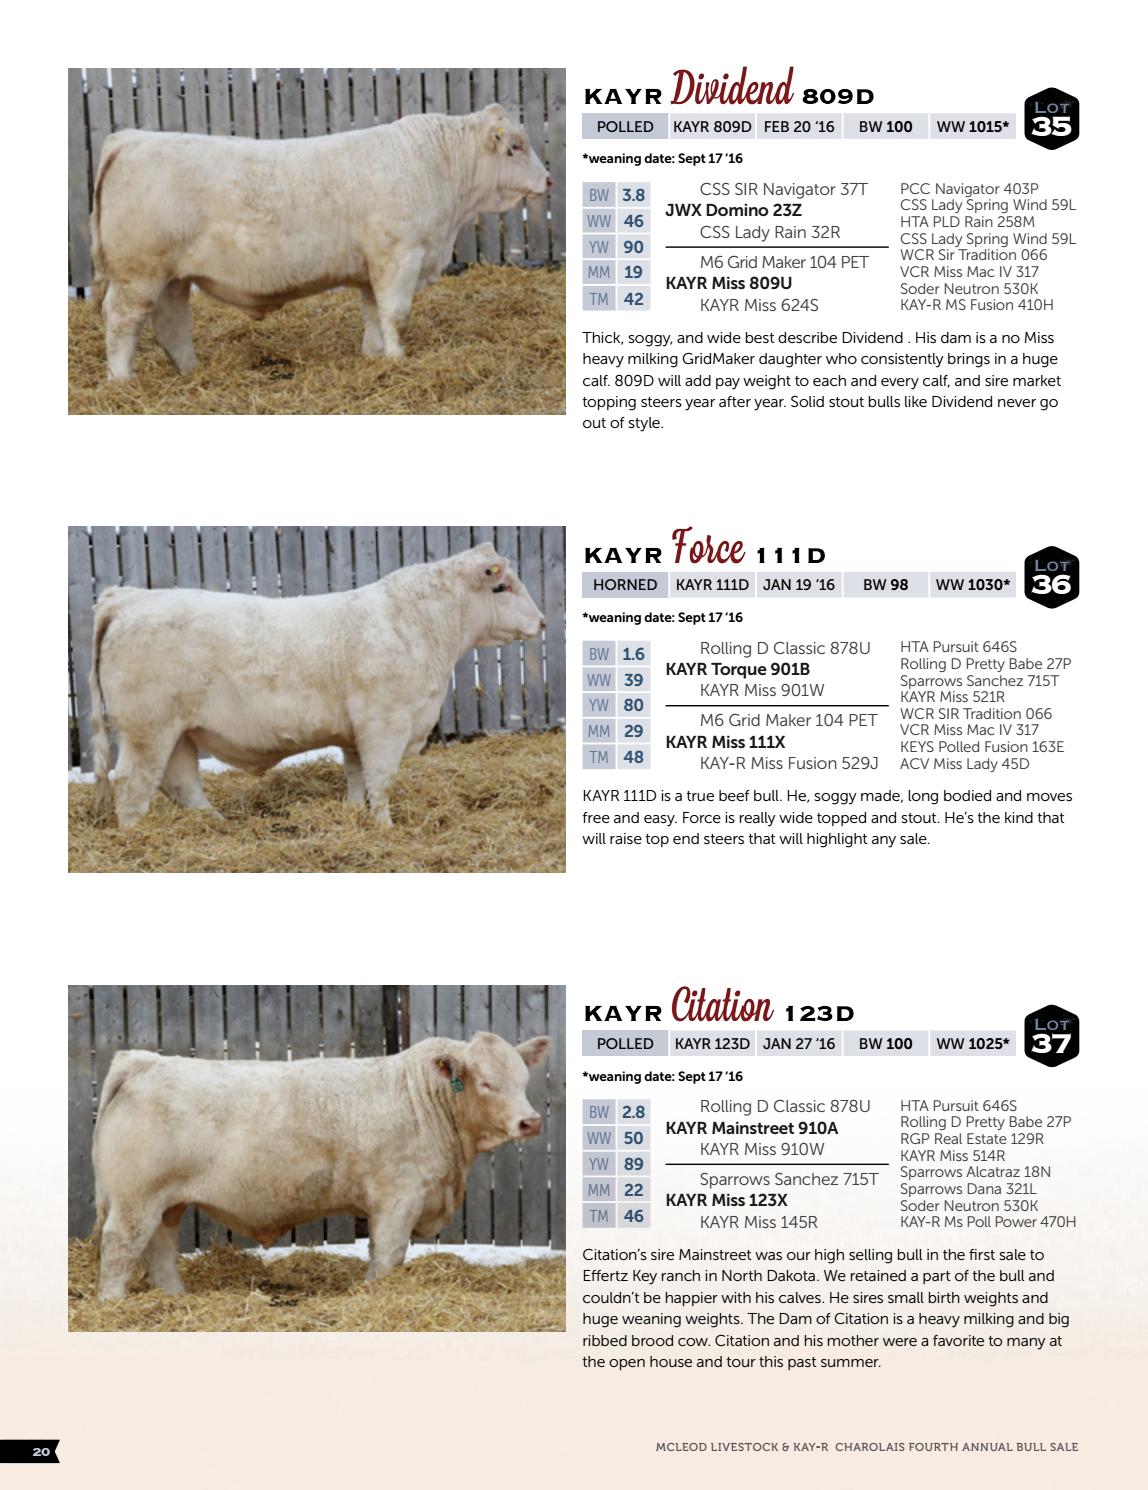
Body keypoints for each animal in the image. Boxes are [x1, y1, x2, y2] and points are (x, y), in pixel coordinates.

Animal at [88, 542, 545, 829]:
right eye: (502, 586)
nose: (541, 621)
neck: (419, 627)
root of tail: (128, 598)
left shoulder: (355, 734)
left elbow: (357, 779)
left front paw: (354, 815)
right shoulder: (385, 724)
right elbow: (381, 780)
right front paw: (386, 827)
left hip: (179, 732)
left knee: (180, 783)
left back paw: (218, 824)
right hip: (148, 729)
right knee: (131, 784)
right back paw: (135, 834)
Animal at [90, 103, 551, 380]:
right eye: (516, 146)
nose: (547, 179)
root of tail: (130, 138)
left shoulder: (372, 268)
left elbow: (373, 315)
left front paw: (373, 356)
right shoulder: (400, 256)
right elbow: (396, 314)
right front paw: (398, 359)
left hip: (172, 278)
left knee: (171, 326)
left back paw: (191, 371)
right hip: (138, 275)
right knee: (121, 322)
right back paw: (122, 380)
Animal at [91, 1032, 551, 1300]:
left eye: (523, 1079)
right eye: (486, 1082)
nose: (530, 1121)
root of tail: (145, 1061)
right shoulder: (398, 1197)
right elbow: (388, 1253)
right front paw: (376, 1292)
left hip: (166, 1201)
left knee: (159, 1249)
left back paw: (176, 1298)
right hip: (135, 1200)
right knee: (120, 1246)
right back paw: (113, 1304)